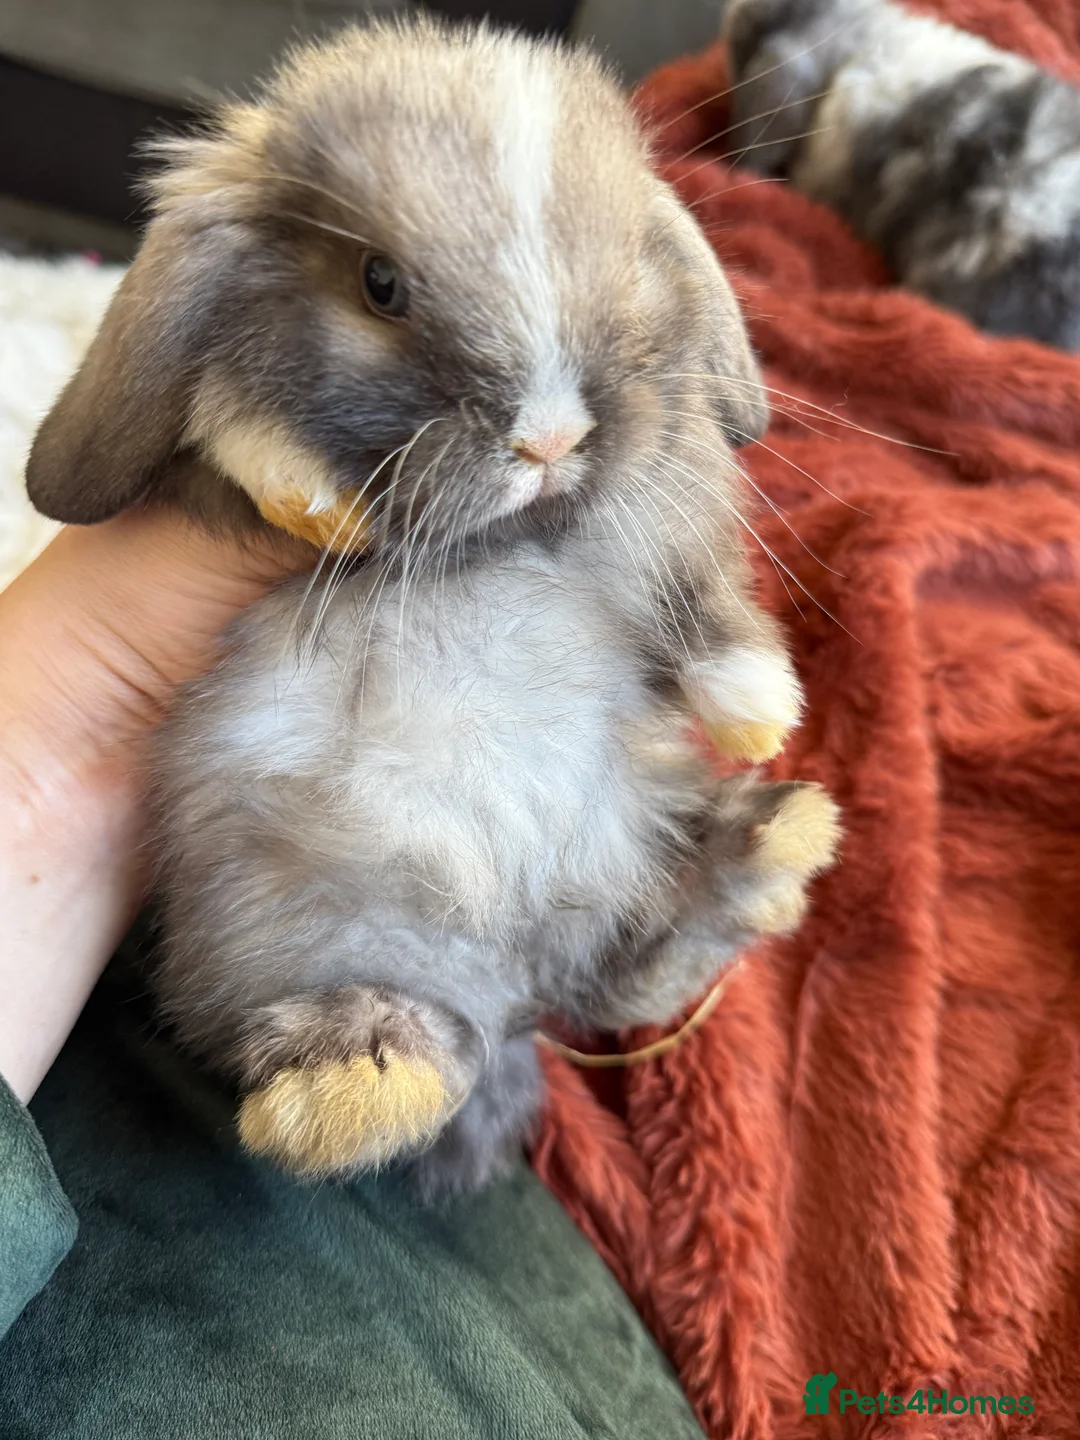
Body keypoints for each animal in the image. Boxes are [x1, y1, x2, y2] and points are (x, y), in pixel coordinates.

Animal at [26, 17, 839, 1196]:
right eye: (380, 285)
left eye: (628, 258)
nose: (550, 437)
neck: (504, 536)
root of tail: (513, 984)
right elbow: (229, 430)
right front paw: (311, 497)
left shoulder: (667, 506)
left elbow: (704, 601)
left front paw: (761, 715)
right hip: (282, 935)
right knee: (402, 1049)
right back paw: (352, 1091)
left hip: (637, 835)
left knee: (630, 971)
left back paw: (777, 843)